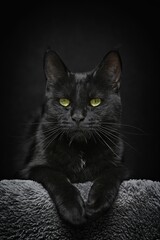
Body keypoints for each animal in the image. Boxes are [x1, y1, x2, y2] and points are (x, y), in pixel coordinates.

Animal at [20, 49, 128, 226]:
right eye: (64, 101)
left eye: (95, 101)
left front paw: (96, 204)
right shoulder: (33, 168)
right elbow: (57, 178)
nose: (77, 117)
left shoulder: (121, 166)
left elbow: (108, 176)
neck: (81, 149)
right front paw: (74, 210)